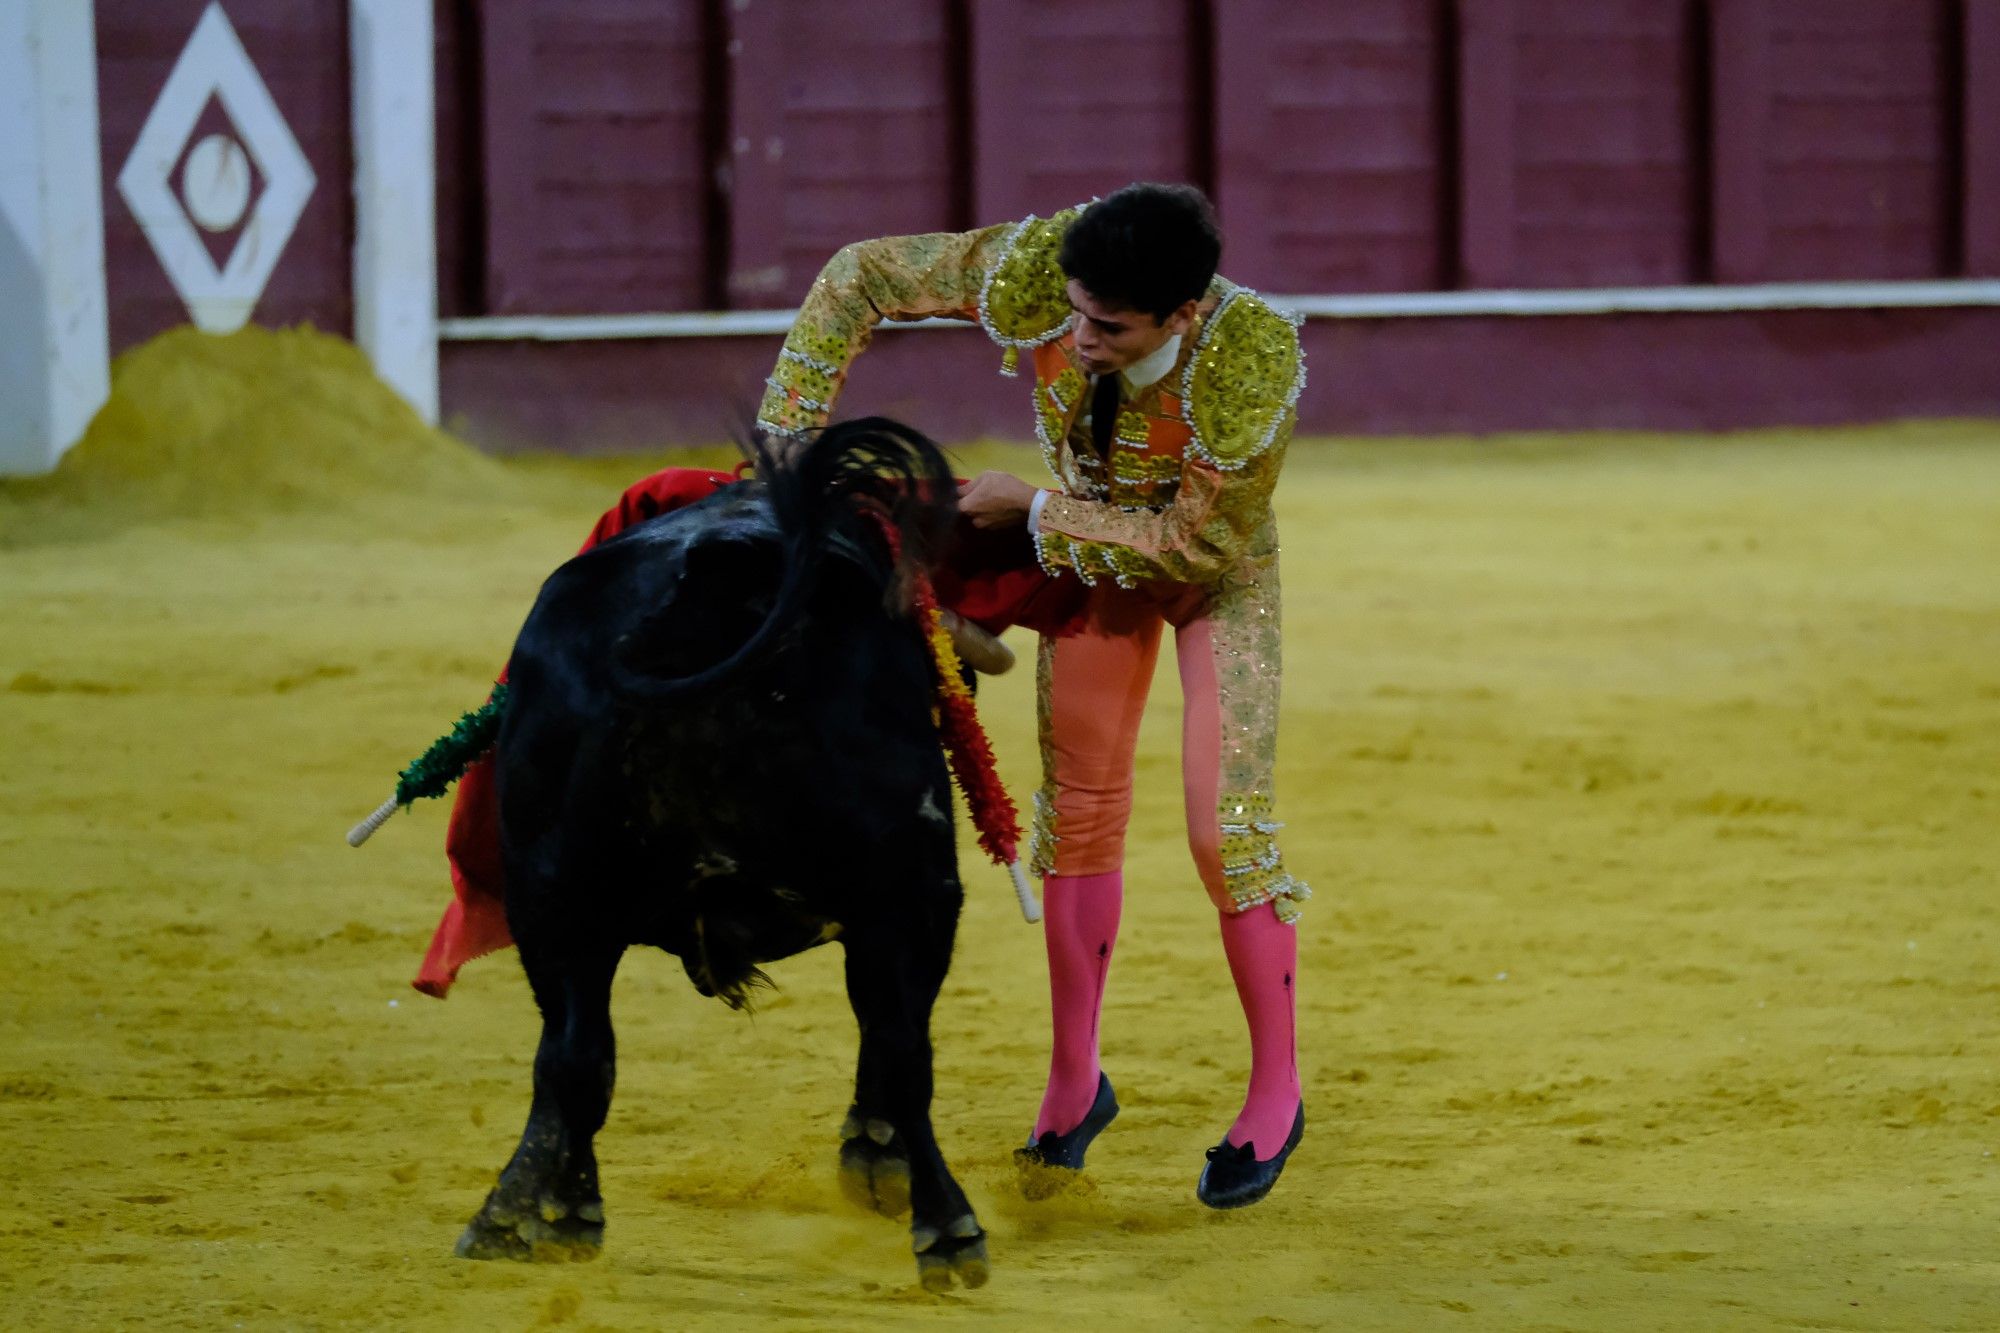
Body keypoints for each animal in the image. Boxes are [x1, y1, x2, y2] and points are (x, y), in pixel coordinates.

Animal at [458, 418, 992, 1288]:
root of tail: (713, 579)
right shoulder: (912, 896)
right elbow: (894, 1035)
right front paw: (878, 1159)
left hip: (551, 891)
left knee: (574, 1053)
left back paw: (543, 1213)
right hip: (907, 882)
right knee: (903, 1046)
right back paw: (947, 1227)